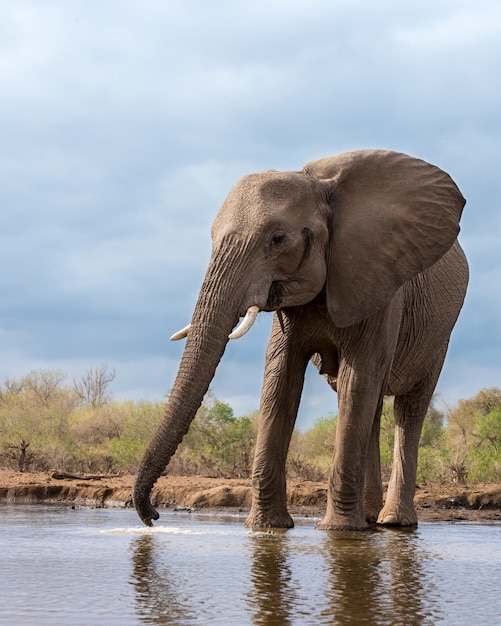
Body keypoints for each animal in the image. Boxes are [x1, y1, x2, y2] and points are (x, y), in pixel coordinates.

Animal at [131, 149, 466, 528]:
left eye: (277, 239)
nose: (154, 515)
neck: (321, 187)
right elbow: (281, 379)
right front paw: (267, 527)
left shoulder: (379, 284)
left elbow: (355, 380)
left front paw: (337, 531)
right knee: (374, 405)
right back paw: (368, 520)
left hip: (440, 334)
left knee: (408, 408)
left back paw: (394, 522)